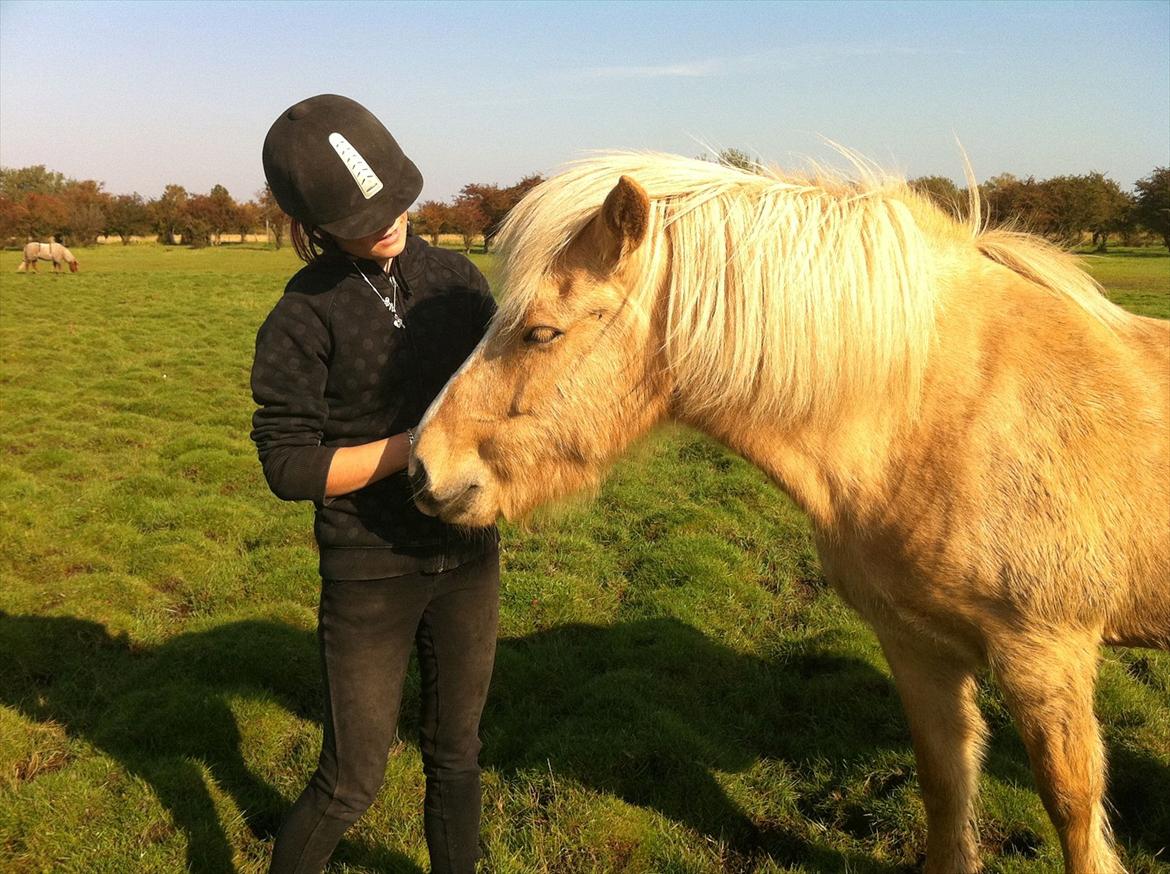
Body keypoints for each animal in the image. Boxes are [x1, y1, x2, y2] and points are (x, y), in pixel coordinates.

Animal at [409, 153, 1160, 870]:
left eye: (540, 333)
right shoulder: (918, 646)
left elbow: (1072, 806)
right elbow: (945, 785)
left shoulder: (1047, 652)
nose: (422, 468)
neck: (941, 411)